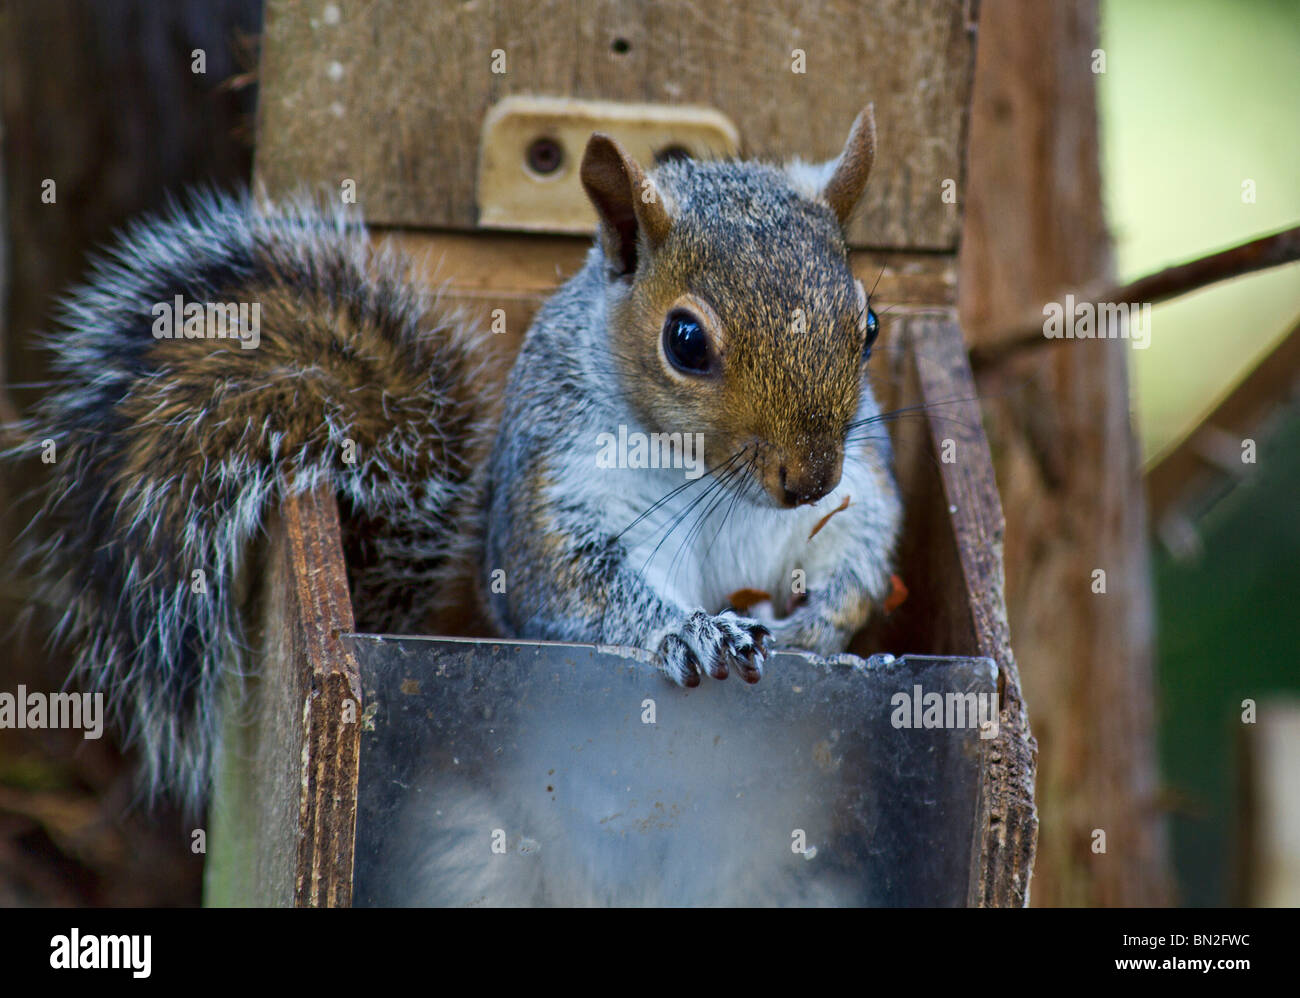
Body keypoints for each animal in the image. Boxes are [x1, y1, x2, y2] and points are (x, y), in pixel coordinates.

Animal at [12, 105, 904, 805]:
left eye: (868, 324)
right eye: (685, 341)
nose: (810, 479)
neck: (707, 481)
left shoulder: (859, 493)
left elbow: (860, 561)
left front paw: (820, 627)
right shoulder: (558, 491)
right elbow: (573, 588)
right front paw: (690, 630)